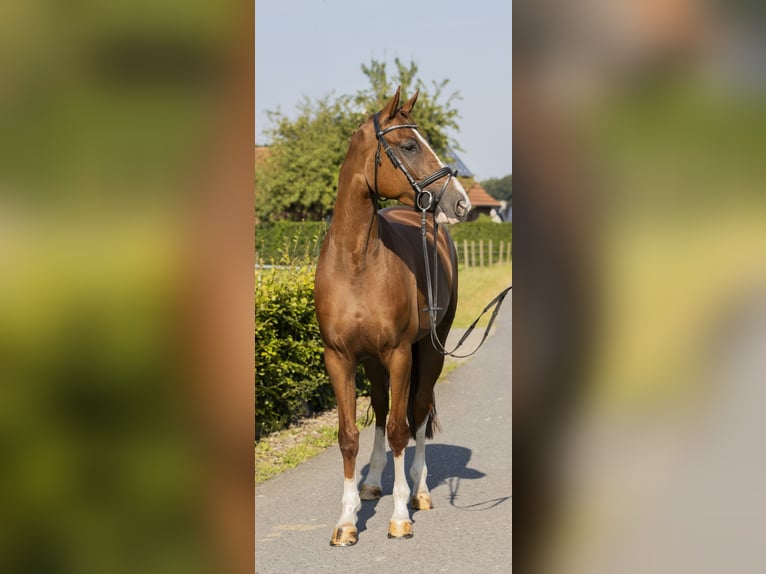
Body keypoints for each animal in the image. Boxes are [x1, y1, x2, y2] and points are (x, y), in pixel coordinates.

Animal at [314, 88, 472, 548]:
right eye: (408, 146)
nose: (461, 201)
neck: (356, 262)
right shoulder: (340, 358)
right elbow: (349, 435)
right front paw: (347, 521)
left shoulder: (400, 353)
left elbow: (403, 429)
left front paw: (400, 516)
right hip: (373, 362)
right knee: (384, 411)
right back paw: (371, 484)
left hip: (430, 349)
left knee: (416, 413)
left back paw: (419, 492)